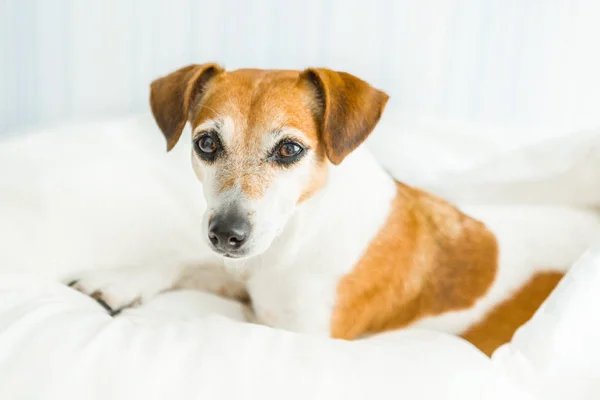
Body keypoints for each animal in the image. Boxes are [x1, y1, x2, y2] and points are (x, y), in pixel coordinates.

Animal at [69, 65, 584, 356]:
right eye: (207, 143)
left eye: (290, 149)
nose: (226, 234)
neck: (293, 240)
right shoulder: (245, 272)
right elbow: (187, 260)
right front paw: (119, 281)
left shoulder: (299, 332)